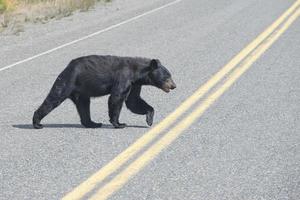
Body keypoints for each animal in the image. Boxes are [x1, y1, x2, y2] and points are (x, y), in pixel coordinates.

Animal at [33, 55, 176, 128]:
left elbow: (133, 101)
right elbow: (116, 98)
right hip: (67, 81)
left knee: (83, 106)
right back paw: (37, 122)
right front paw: (119, 123)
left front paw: (149, 119)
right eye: (167, 76)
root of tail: (67, 67)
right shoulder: (124, 77)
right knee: (54, 98)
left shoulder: (134, 84)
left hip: (82, 91)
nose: (174, 86)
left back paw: (93, 123)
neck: (137, 72)